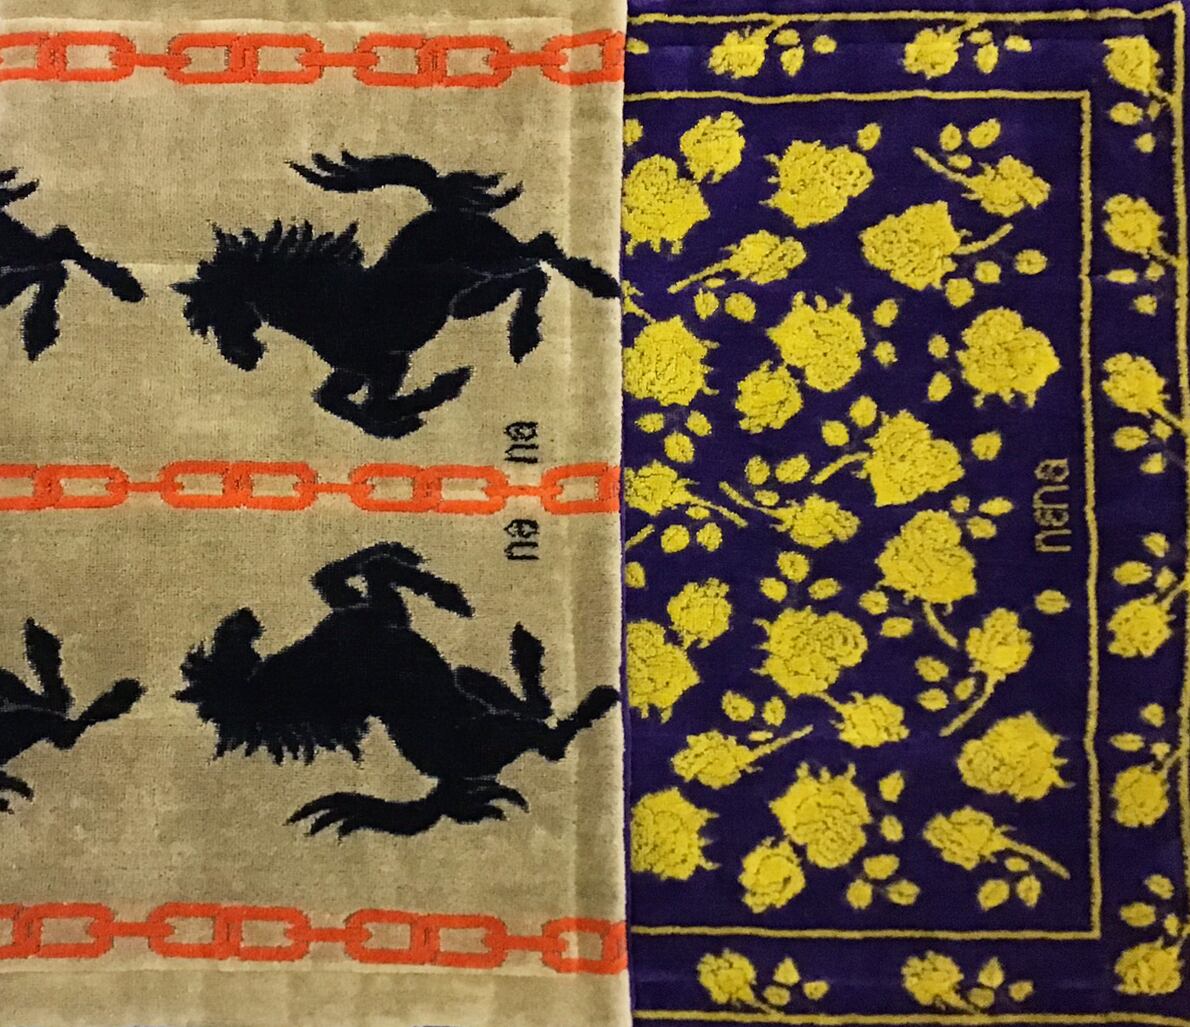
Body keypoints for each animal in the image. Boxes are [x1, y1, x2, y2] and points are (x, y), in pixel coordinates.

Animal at [174, 152, 619, 440]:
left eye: (223, 313)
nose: (242, 359)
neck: (322, 305)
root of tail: (443, 208)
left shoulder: (388, 364)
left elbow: (370, 404)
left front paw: (438, 392)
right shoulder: (356, 371)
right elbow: (331, 399)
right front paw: (408, 416)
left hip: (490, 258)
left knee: (540, 254)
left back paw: (574, 303)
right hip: (474, 280)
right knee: (525, 274)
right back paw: (515, 327)